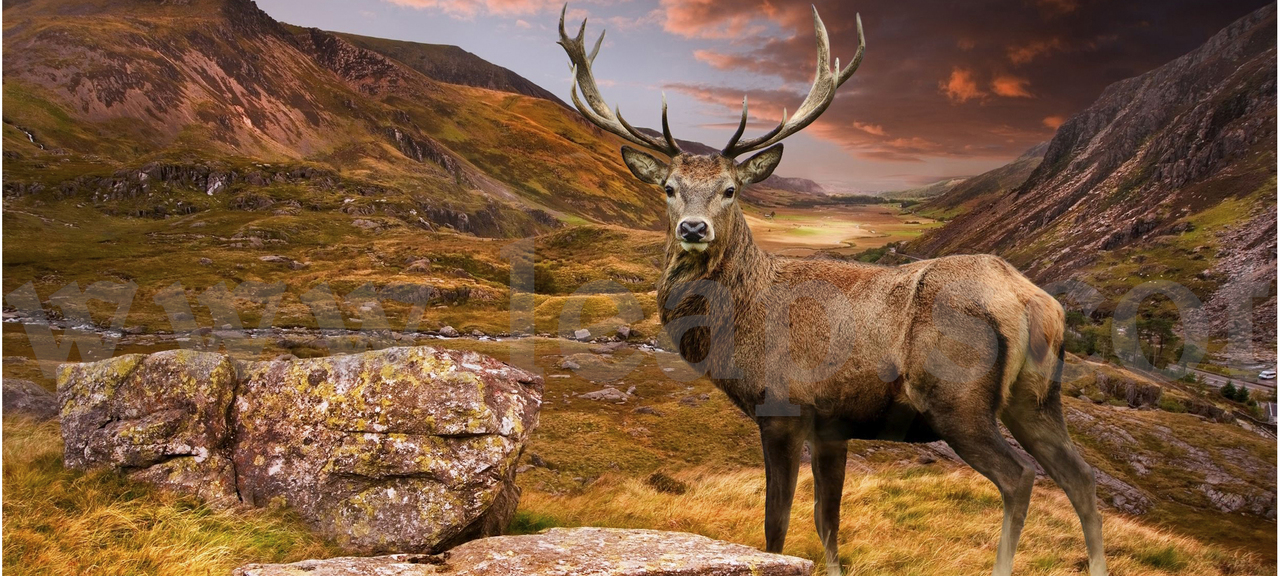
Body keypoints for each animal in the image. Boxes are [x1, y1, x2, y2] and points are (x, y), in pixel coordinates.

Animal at [557, 5, 1106, 576]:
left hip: (958, 400)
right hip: (1037, 398)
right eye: (668, 188)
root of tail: (1032, 302)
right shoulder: (833, 427)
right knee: (1081, 476)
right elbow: (828, 523)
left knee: (1019, 478)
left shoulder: (782, 406)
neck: (737, 327)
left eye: (730, 190)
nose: (692, 228)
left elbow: (776, 525)